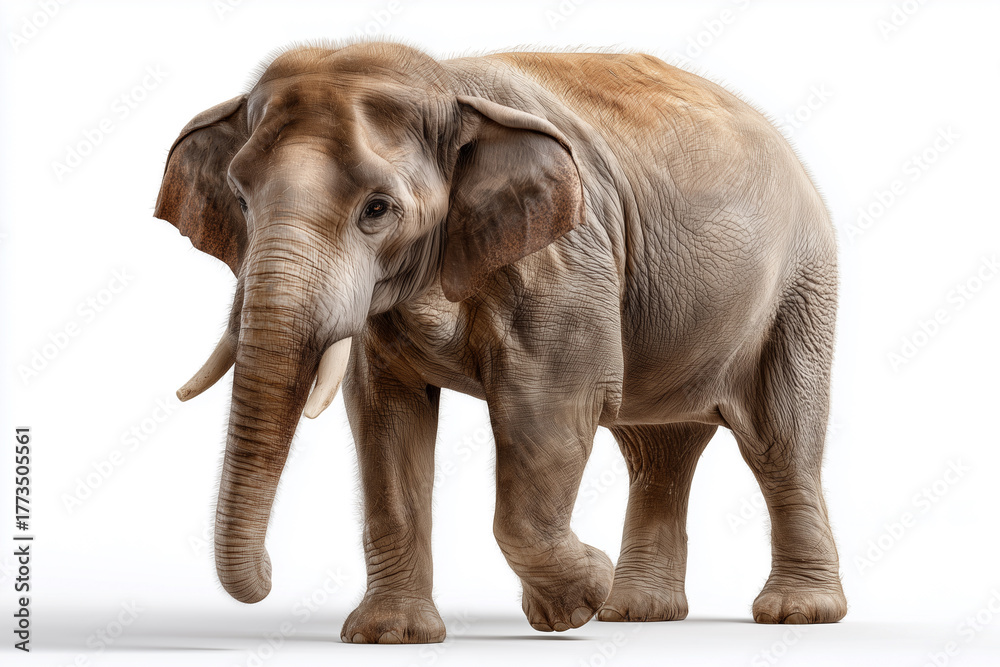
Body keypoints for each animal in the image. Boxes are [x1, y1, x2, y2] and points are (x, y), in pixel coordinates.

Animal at [152, 40, 846, 643]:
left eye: (377, 209)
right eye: (242, 201)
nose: (272, 572)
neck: (447, 86)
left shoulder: (565, 261)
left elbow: (549, 408)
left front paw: (575, 601)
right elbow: (383, 416)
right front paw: (390, 636)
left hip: (801, 285)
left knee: (780, 440)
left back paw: (795, 613)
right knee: (658, 449)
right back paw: (635, 611)